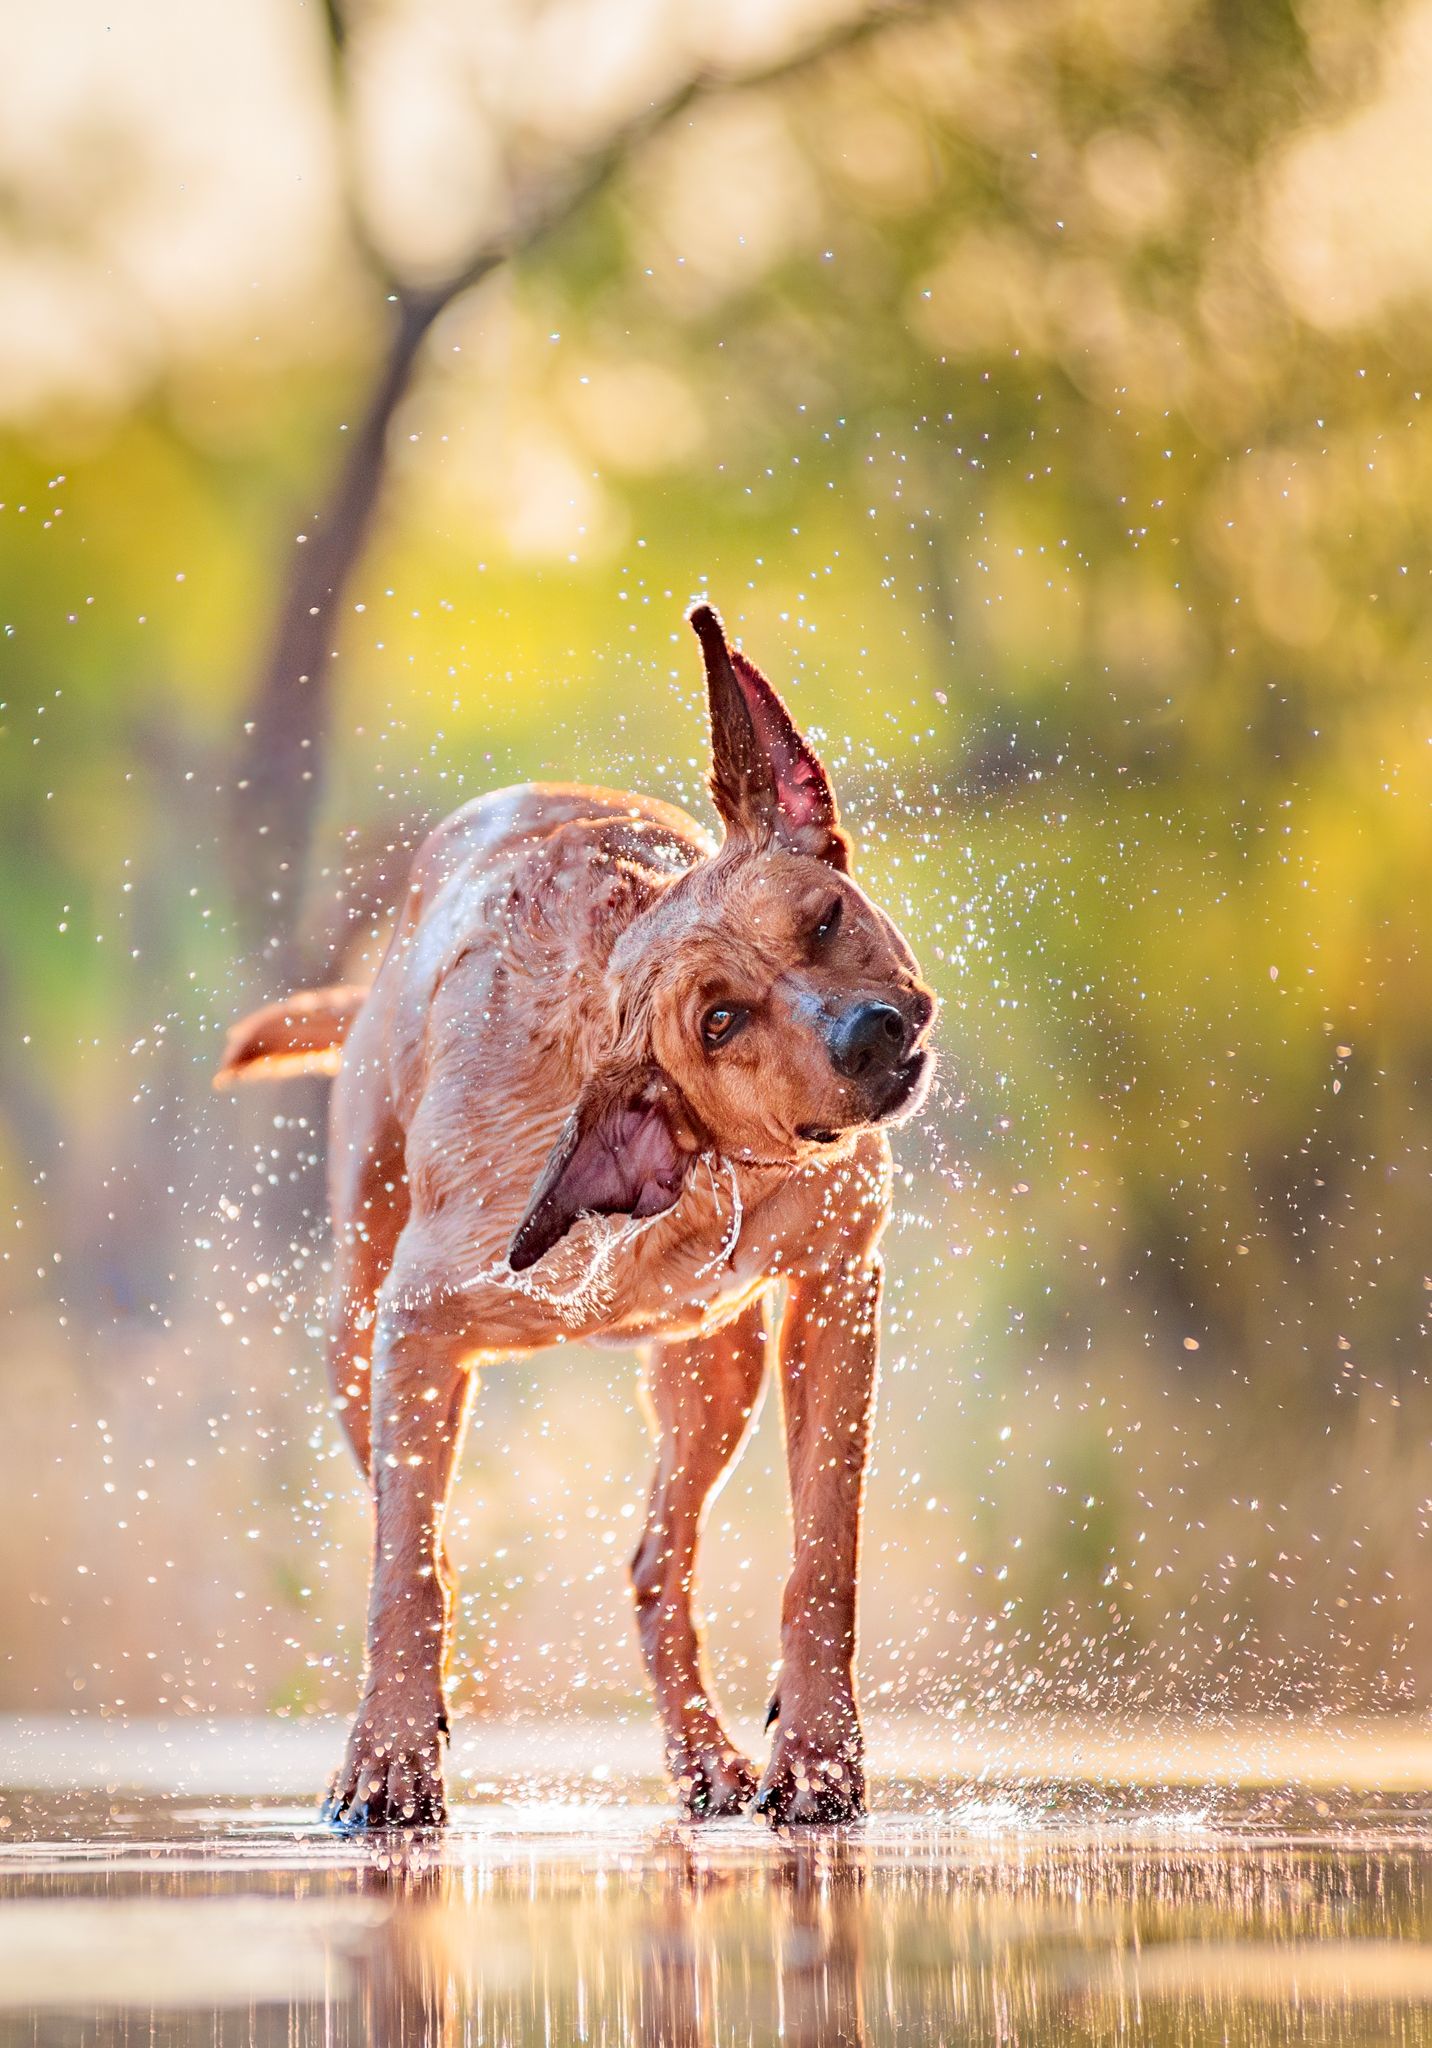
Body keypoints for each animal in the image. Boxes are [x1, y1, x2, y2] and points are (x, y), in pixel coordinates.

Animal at [213, 602, 930, 1826]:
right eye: (722, 1021)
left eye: (826, 919)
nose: (868, 1035)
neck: (692, 1175)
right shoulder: (420, 1325)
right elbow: (406, 1569)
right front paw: (387, 1758)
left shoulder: (836, 1284)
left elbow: (822, 1547)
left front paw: (818, 1752)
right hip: (357, 1345)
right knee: (430, 1534)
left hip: (716, 1368)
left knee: (654, 1565)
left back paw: (707, 1760)